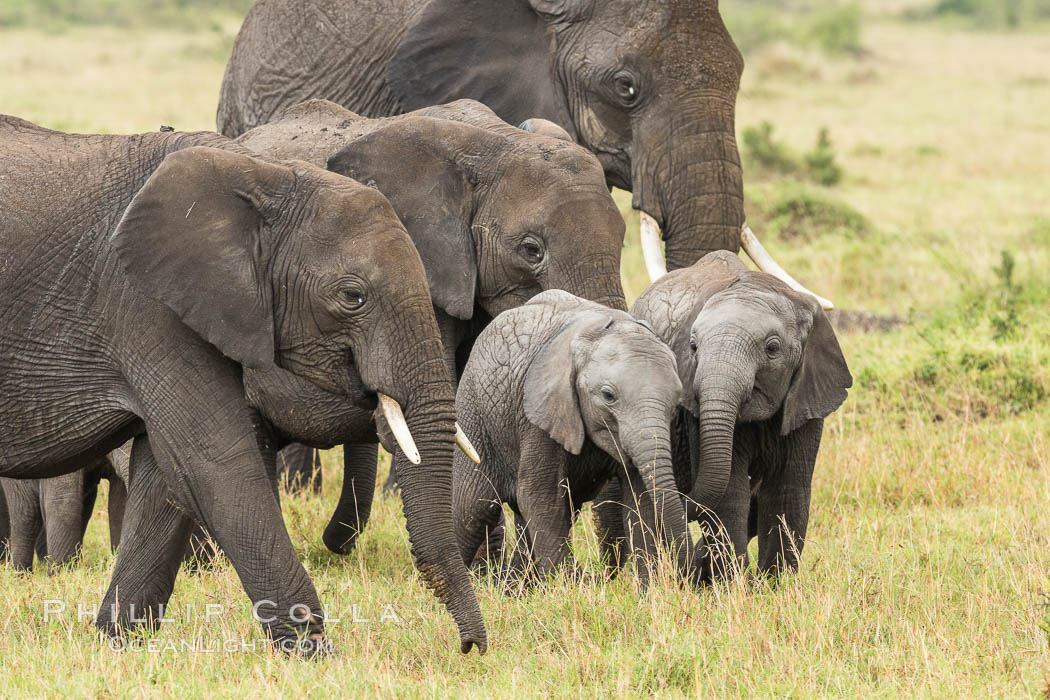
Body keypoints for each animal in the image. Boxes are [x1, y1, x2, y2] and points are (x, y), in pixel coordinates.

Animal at [0, 116, 482, 659]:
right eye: (352, 297)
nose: (470, 647)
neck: (263, 176)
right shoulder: (146, 307)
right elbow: (215, 464)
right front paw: (316, 656)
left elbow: (165, 476)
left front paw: (118, 644)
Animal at [453, 289, 692, 587]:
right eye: (608, 396)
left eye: (676, 403)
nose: (688, 572)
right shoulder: (540, 413)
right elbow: (539, 497)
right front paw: (569, 585)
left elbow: (642, 499)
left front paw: (649, 588)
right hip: (473, 408)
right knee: (473, 509)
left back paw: (515, 588)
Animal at [600, 251, 852, 579]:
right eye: (693, 346)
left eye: (772, 348)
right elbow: (730, 493)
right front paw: (732, 585)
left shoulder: (807, 394)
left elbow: (788, 491)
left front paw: (774, 584)